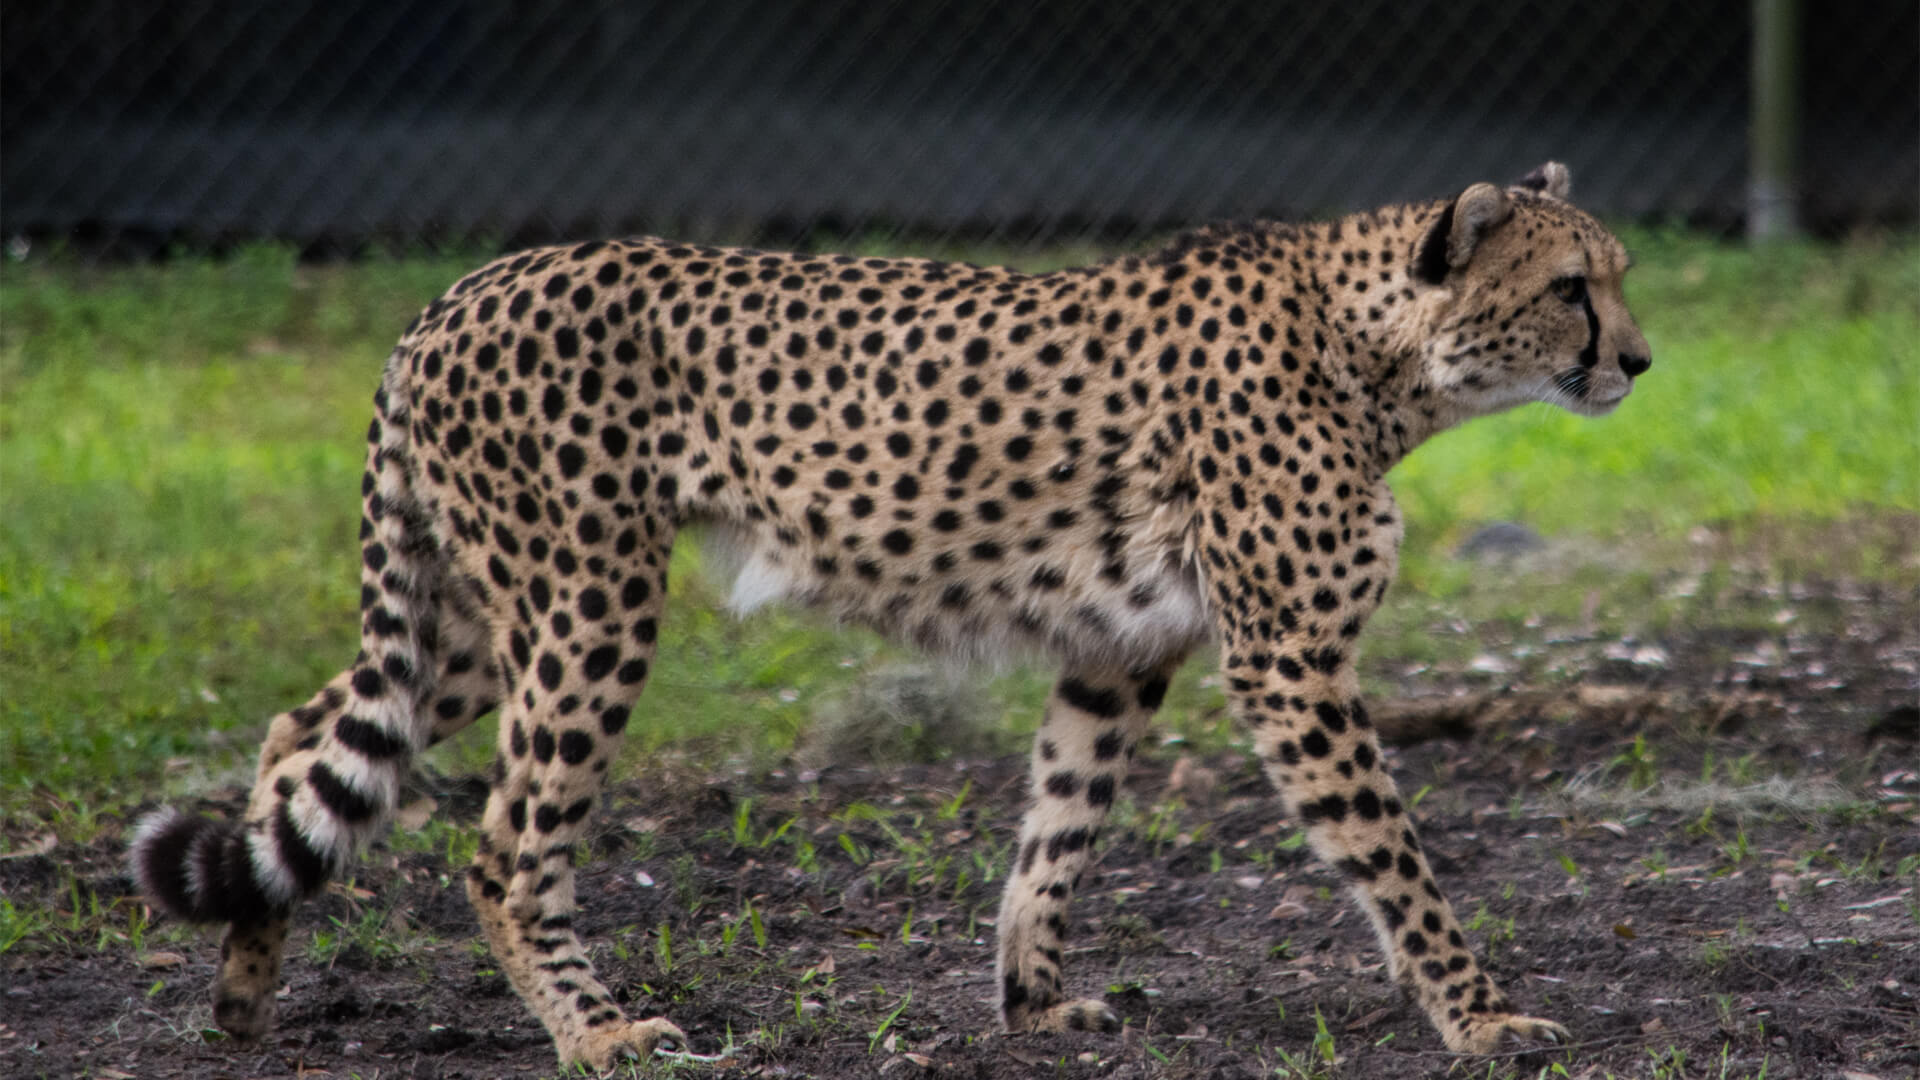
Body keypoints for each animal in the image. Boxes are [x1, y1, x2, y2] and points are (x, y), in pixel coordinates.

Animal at [131, 164, 1651, 1060]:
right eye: (1570, 286)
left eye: (1621, 274)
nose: (1639, 361)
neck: (1378, 355)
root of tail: (453, 291)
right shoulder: (1290, 663)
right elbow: (1397, 861)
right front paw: (1482, 1015)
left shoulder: (1119, 650)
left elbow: (1058, 826)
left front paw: (1033, 998)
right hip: (586, 601)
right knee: (502, 843)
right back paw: (596, 1034)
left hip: (472, 616)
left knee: (305, 735)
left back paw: (242, 999)